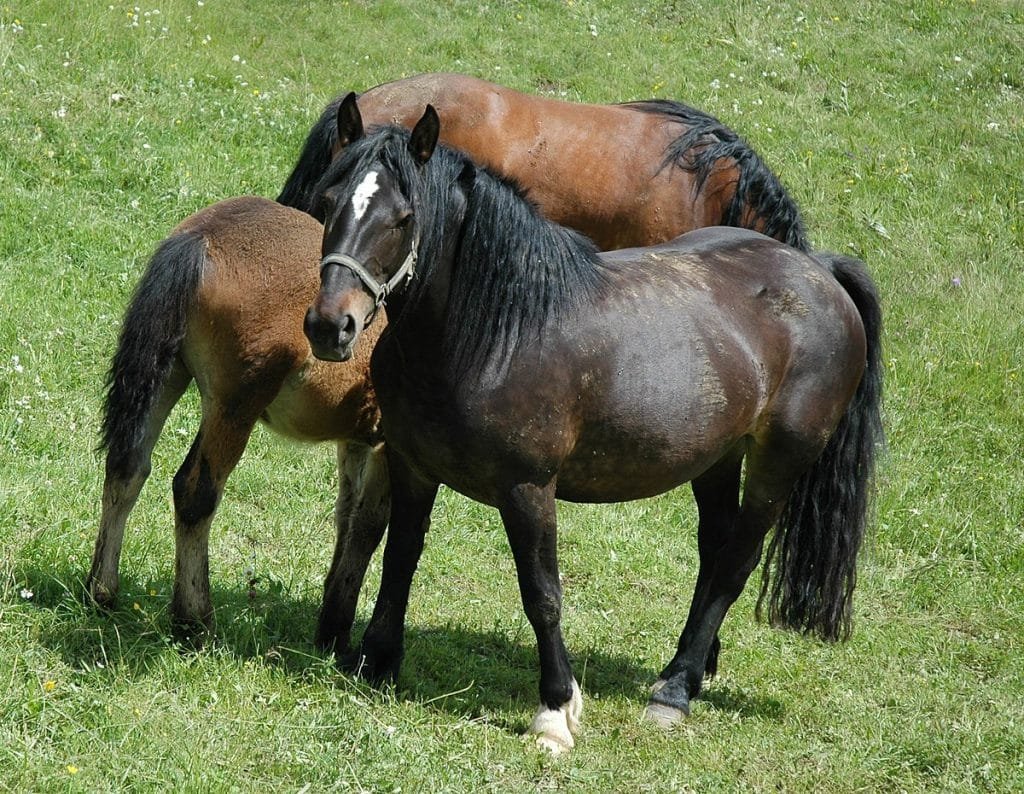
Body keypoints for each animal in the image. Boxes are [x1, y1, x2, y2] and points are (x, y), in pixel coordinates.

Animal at [88, 196, 389, 653]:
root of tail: (202, 237)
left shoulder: (355, 439)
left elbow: (347, 516)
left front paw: (330, 618)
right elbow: (370, 526)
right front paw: (338, 636)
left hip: (173, 374)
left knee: (127, 466)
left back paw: (101, 592)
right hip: (235, 406)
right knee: (195, 492)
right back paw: (194, 621)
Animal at [303, 100, 883, 753]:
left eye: (403, 218)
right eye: (328, 201)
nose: (330, 326)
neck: (495, 334)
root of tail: (818, 270)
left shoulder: (528, 490)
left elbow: (542, 595)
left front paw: (556, 710)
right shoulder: (412, 467)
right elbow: (401, 556)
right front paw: (379, 661)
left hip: (778, 462)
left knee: (736, 561)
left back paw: (674, 691)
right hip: (717, 457)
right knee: (714, 550)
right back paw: (697, 667)